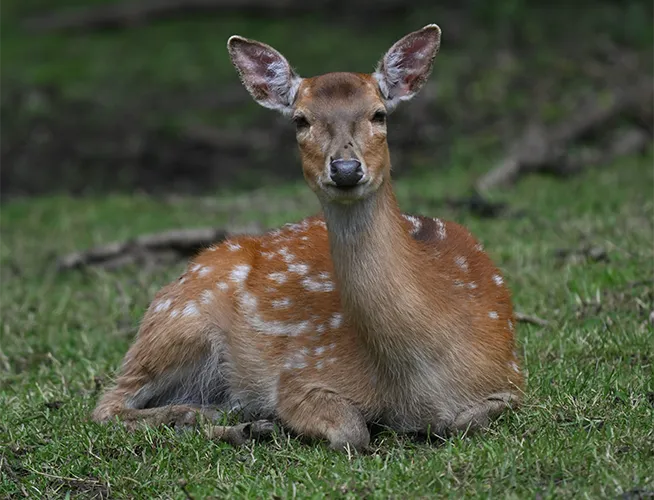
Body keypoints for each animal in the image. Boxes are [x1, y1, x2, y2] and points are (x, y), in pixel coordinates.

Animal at [92, 24, 523, 452]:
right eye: (300, 120)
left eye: (379, 114)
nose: (346, 169)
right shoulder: (300, 373)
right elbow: (351, 432)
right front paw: (282, 424)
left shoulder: (510, 375)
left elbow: (466, 422)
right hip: (179, 320)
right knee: (107, 405)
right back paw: (222, 420)